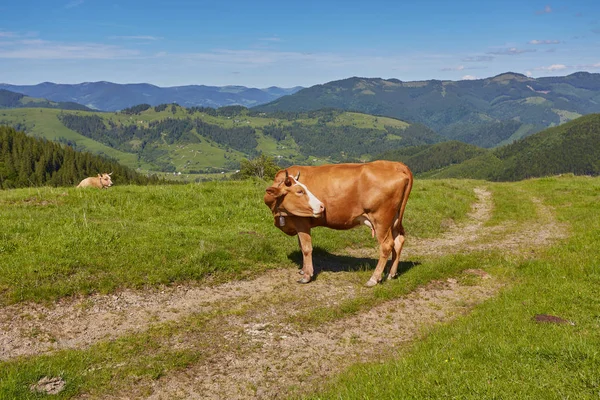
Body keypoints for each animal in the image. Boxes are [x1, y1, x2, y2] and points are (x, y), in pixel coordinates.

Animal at [264, 161, 412, 286]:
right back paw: (391, 274)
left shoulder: (301, 221)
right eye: (300, 191)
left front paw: (306, 275)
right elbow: (301, 246)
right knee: (399, 241)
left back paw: (374, 279)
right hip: (395, 220)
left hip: (381, 220)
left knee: (387, 245)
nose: (322, 206)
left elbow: (306, 248)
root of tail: (396, 164)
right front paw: (303, 269)